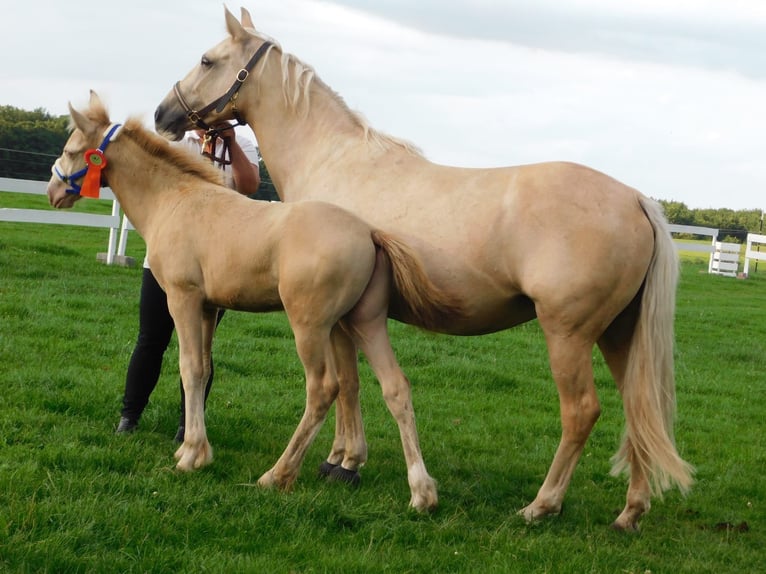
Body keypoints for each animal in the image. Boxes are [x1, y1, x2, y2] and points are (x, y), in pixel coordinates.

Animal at [47, 90, 464, 509]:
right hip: (364, 322)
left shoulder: (182, 299)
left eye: (70, 150)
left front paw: (190, 456)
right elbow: (203, 369)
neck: (175, 201)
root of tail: (369, 232)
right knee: (396, 387)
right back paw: (421, 493)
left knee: (323, 388)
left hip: (310, 326)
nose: (53, 192)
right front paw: (194, 449)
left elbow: (188, 368)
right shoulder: (208, 307)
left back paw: (277, 475)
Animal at [153, 7, 694, 530]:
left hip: (569, 334)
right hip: (619, 334)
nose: (163, 113)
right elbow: (353, 383)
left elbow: (344, 384)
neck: (333, 159)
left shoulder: (333, 318)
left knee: (581, 413)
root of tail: (636, 199)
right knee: (638, 409)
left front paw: (342, 462)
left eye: (207, 60)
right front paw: (345, 459)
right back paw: (630, 512)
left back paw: (542, 505)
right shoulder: (349, 317)